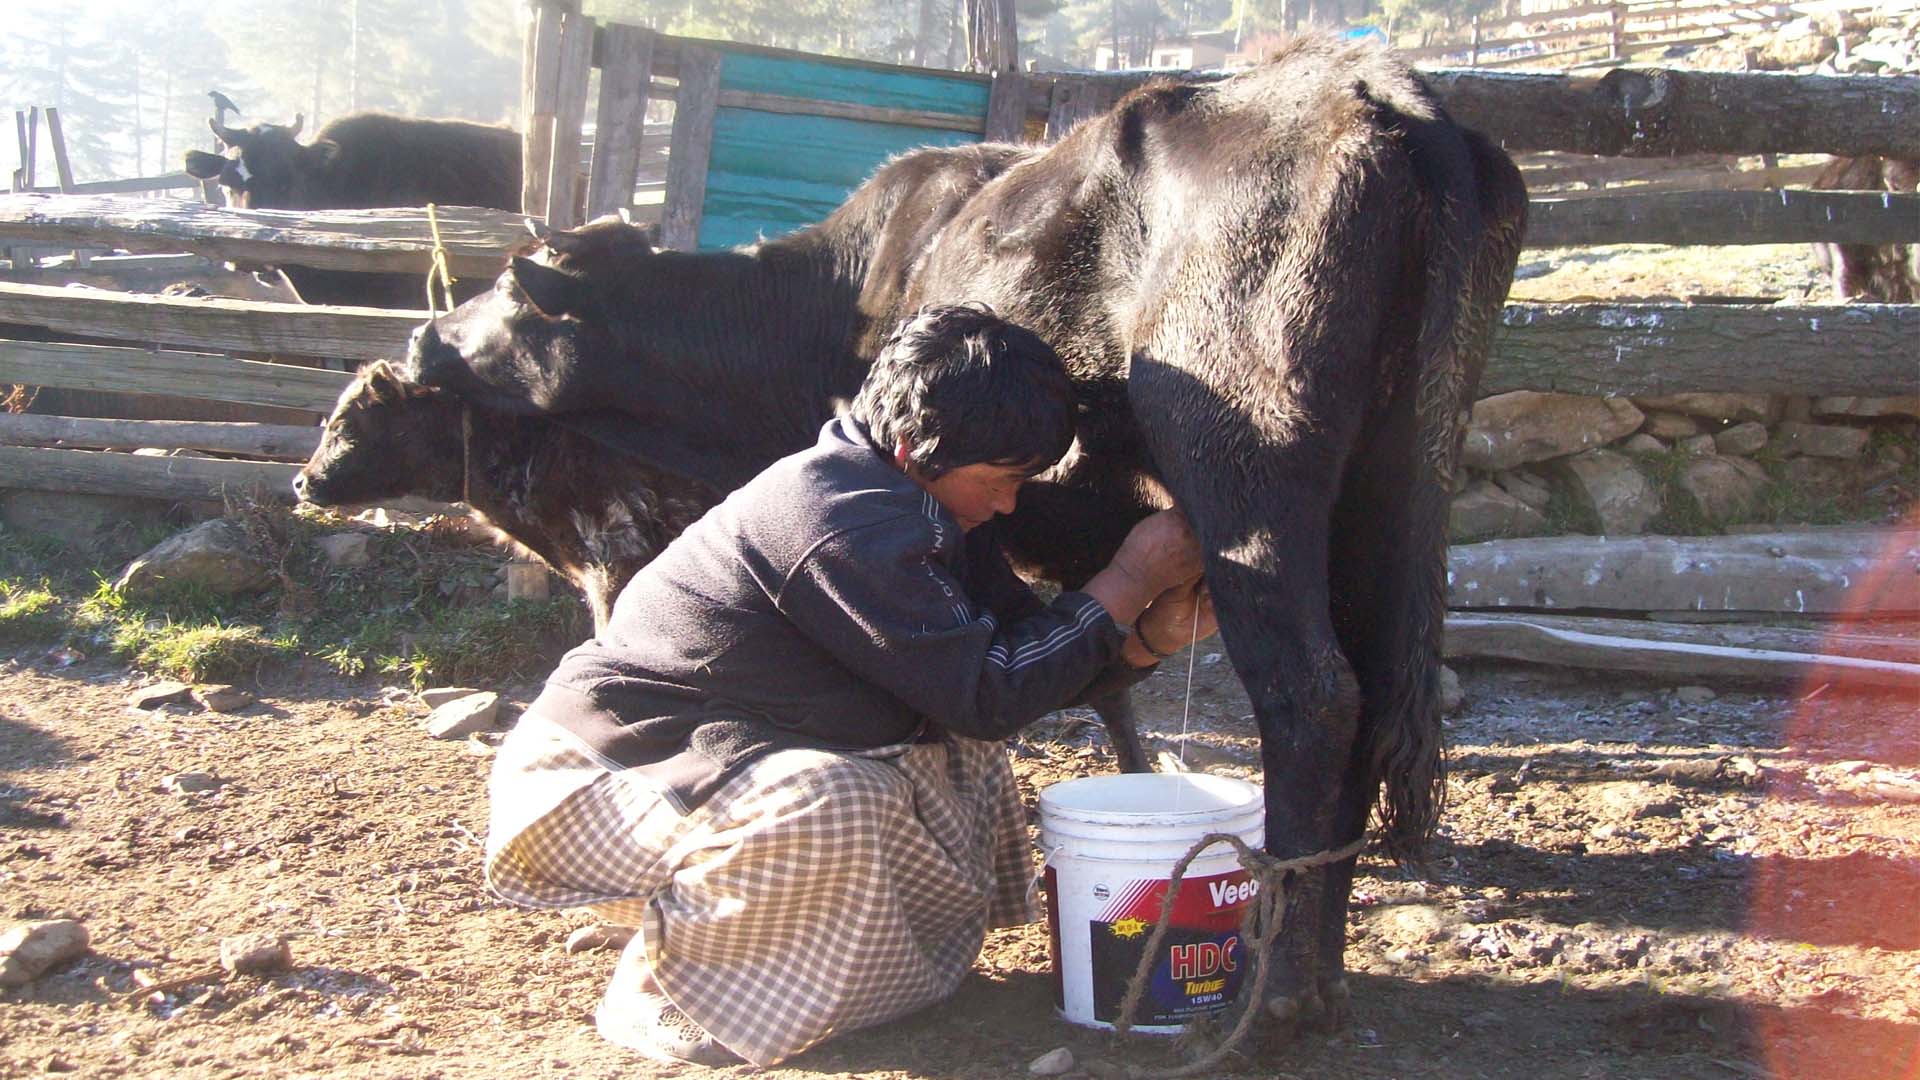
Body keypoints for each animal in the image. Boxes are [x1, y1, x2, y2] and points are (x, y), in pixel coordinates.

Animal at [406, 36, 1527, 1035]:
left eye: (509, 291)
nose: (422, 338)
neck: (830, 306)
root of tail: (1376, 87)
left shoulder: (983, 523)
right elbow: (1097, 670)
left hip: (1246, 462)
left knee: (1315, 693)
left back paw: (1285, 990)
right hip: (1402, 469)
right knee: (1377, 688)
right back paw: (1325, 977)